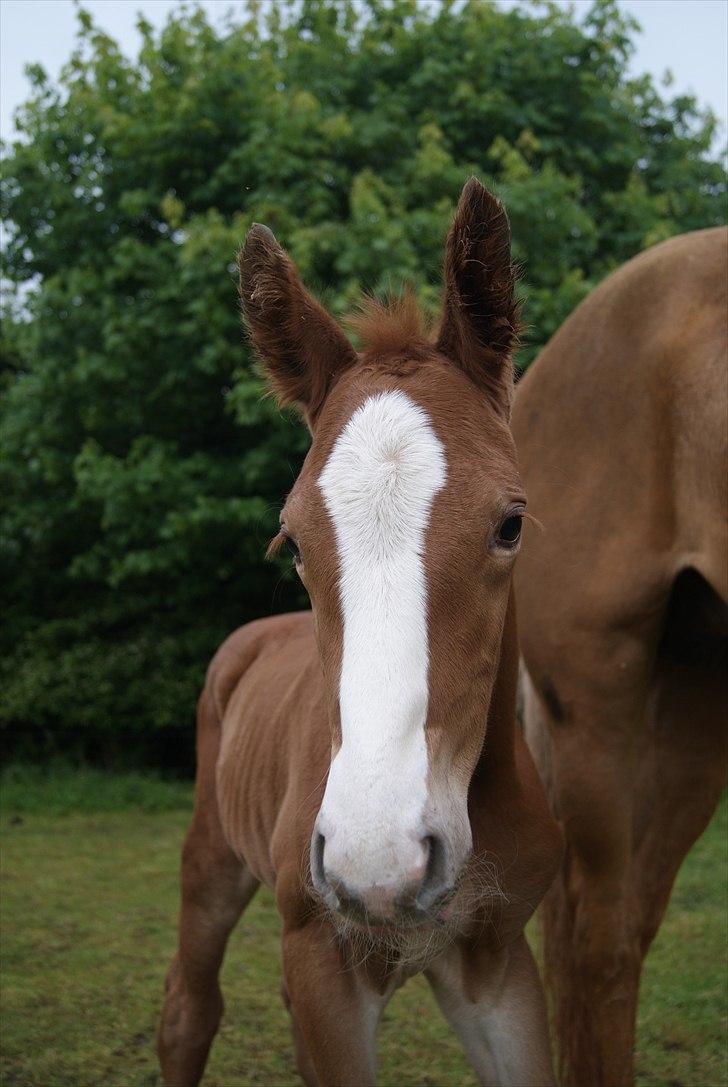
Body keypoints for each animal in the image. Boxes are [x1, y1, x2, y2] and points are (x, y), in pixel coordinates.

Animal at [156, 178, 560, 1087]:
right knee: (187, 1011)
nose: (380, 859)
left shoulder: (499, 959)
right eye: (293, 540)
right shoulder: (324, 962)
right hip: (211, 861)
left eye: (511, 523)